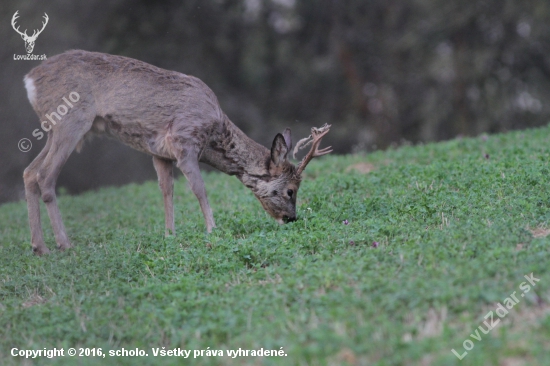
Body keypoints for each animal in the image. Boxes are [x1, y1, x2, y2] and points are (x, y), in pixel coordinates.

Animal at [22, 49, 332, 254]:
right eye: (290, 190)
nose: (291, 218)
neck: (214, 131)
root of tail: (29, 80)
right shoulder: (184, 141)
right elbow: (199, 189)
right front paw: (213, 230)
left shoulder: (160, 153)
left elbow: (166, 191)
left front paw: (169, 234)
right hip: (71, 121)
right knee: (45, 176)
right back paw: (63, 243)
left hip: (54, 129)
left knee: (29, 172)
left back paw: (39, 247)